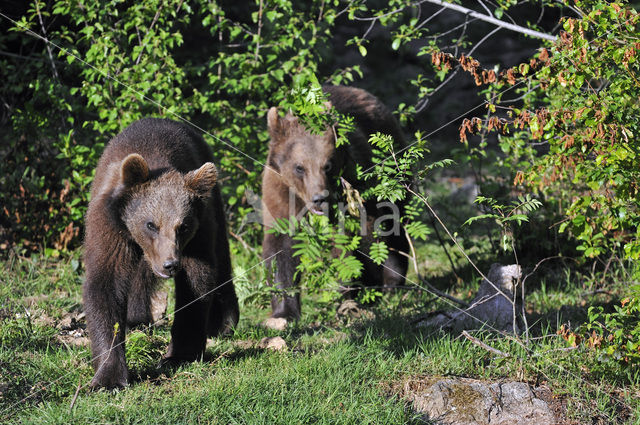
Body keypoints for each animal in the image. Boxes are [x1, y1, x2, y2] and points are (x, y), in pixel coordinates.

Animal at [82, 116, 238, 388]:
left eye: (183, 226)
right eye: (150, 224)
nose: (170, 264)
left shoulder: (198, 232)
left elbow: (197, 282)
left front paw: (179, 354)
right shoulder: (110, 227)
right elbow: (105, 283)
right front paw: (108, 376)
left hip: (213, 203)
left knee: (221, 255)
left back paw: (224, 322)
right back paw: (137, 319)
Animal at [262, 84, 408, 322]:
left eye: (328, 165)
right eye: (299, 167)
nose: (319, 198)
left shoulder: (356, 186)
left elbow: (358, 239)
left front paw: (357, 292)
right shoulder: (279, 192)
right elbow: (281, 248)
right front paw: (283, 313)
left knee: (395, 223)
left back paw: (392, 281)